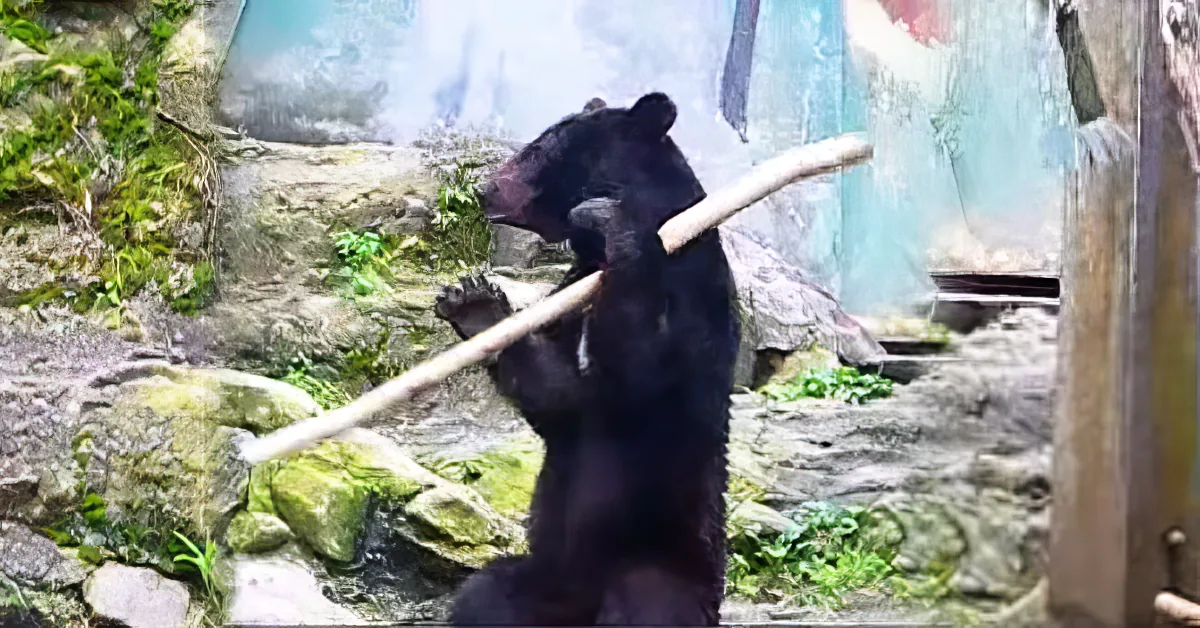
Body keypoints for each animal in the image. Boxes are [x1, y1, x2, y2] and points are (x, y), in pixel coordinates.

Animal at [434, 92, 740, 626]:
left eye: (539, 148)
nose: (484, 189)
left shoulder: (694, 289)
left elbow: (643, 366)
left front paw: (607, 220)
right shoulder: (571, 289)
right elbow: (562, 394)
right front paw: (475, 302)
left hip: (661, 558)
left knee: (648, 606)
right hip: (546, 580)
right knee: (485, 596)